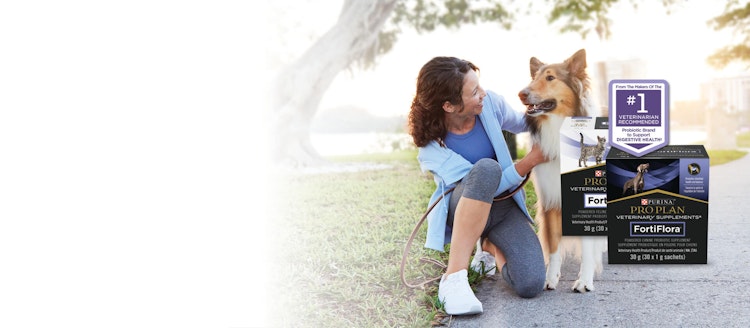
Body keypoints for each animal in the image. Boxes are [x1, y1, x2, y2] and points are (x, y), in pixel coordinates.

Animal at [520, 48, 608, 292]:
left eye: (550, 78)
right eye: (534, 78)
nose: (521, 94)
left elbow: (587, 249)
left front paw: (584, 280)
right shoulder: (550, 200)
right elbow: (553, 246)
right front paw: (550, 278)